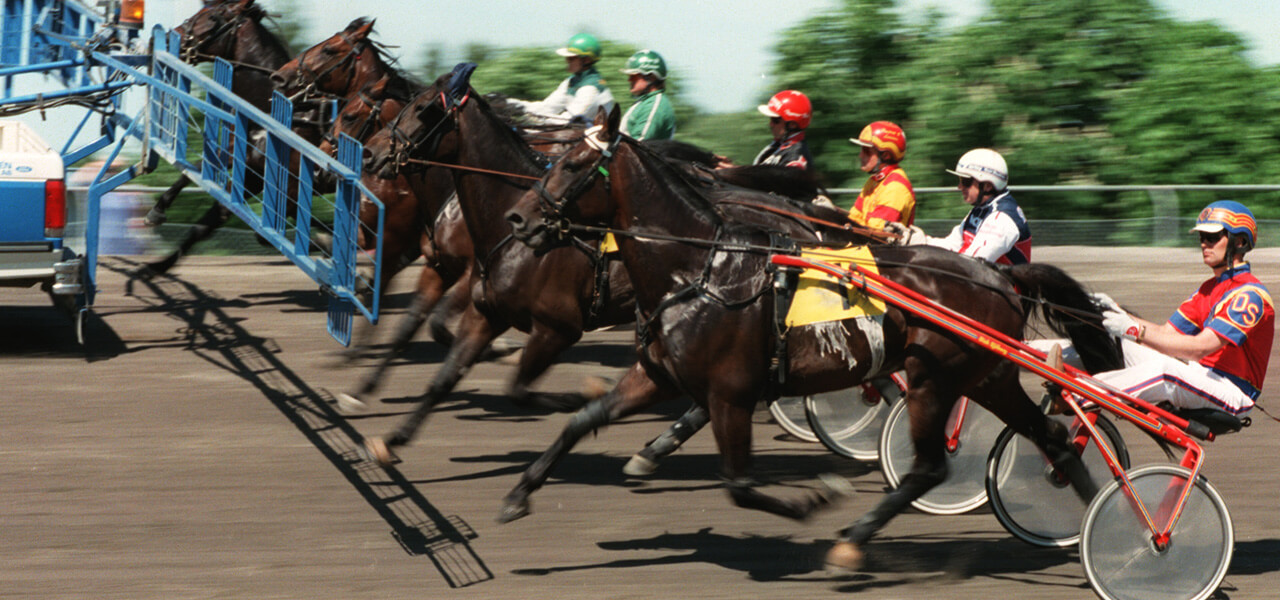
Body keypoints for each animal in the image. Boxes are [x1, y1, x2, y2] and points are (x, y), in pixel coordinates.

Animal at [499, 105, 1121, 568]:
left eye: (573, 163)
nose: (518, 219)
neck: (700, 268)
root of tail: (1000, 277)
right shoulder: (657, 375)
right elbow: (581, 420)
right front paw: (517, 496)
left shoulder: (729, 394)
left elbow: (738, 484)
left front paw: (817, 498)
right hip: (985, 376)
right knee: (1052, 437)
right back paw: (1098, 518)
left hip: (935, 377)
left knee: (933, 465)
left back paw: (855, 539)